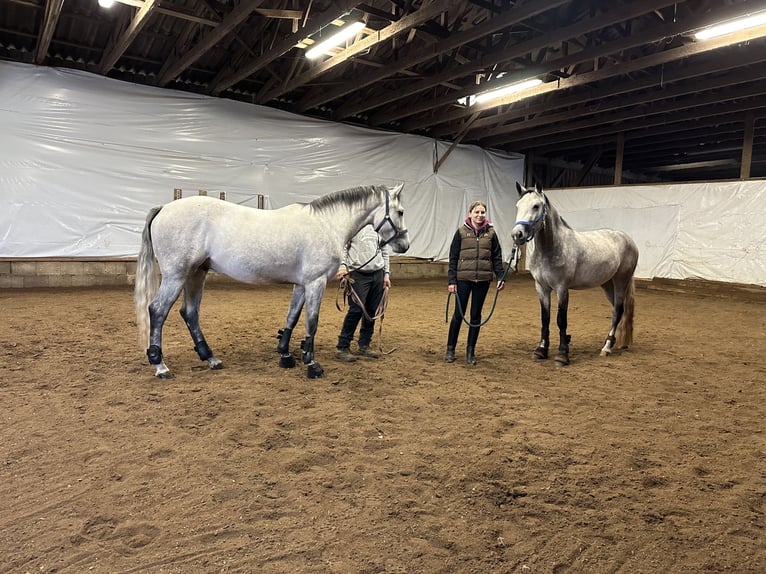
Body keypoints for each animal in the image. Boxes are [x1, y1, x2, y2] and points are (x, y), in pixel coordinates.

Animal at [136, 186, 414, 382]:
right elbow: (311, 321)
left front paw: (286, 354)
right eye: (400, 212)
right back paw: (161, 366)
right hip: (177, 275)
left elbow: (292, 317)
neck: (326, 223)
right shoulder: (316, 282)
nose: (404, 245)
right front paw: (312, 364)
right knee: (158, 311)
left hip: (196, 274)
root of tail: (163, 208)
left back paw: (211, 358)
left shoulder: (301, 284)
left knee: (190, 313)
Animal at [512, 182, 640, 366]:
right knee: (618, 310)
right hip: (608, 285)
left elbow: (561, 320)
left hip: (621, 281)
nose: (517, 234)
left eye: (536, 206)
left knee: (618, 310)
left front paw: (562, 355)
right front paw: (541, 350)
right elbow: (545, 318)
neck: (550, 249)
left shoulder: (562, 288)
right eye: (518, 206)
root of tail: (628, 239)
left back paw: (607, 348)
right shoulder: (541, 288)